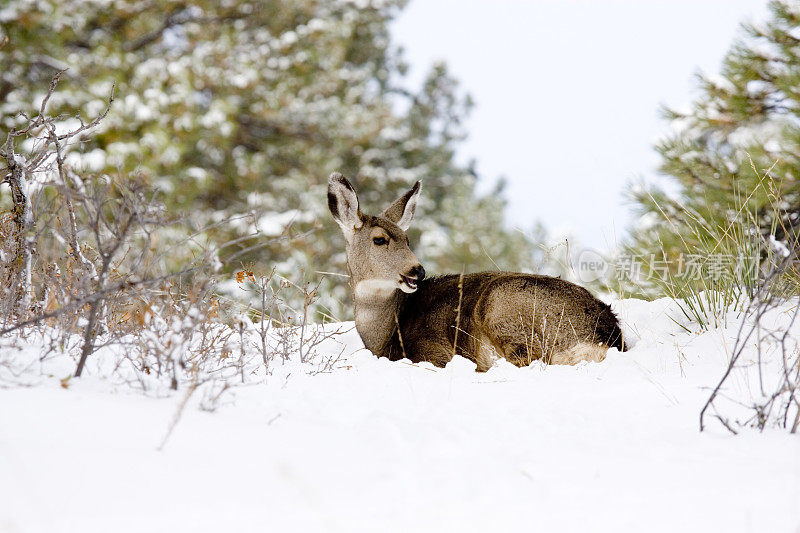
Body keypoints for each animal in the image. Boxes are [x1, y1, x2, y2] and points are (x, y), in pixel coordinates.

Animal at [324, 171, 624, 370]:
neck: (386, 332)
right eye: (379, 239)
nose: (417, 271)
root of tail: (606, 337)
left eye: (407, 239)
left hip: (503, 307)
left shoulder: (435, 352)